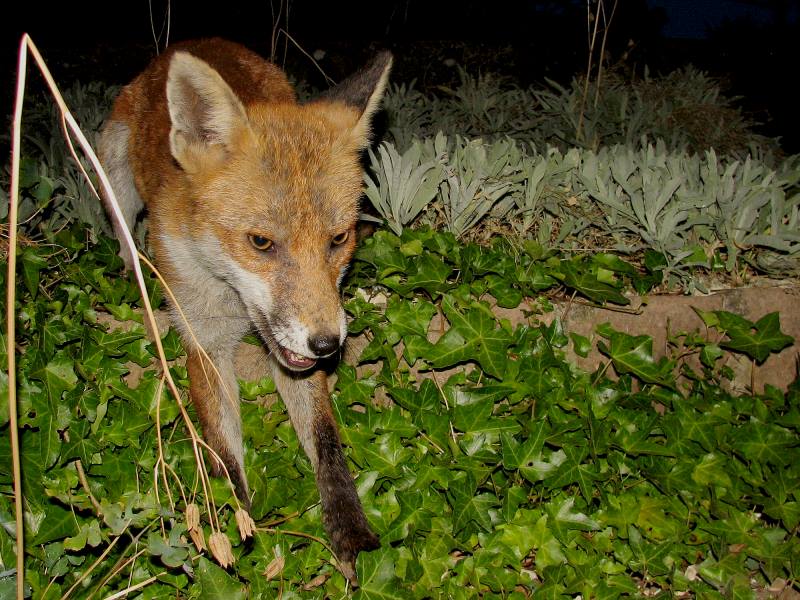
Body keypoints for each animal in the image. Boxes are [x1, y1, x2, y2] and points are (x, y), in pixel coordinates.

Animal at [97, 38, 391, 582]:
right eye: (260, 242)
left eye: (338, 239)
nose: (328, 344)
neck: (234, 303)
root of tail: (190, 44)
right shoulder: (204, 340)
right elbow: (223, 459)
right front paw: (232, 534)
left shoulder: (295, 356)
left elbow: (327, 442)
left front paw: (350, 534)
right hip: (112, 170)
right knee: (123, 229)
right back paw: (134, 273)